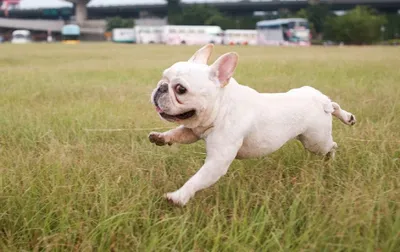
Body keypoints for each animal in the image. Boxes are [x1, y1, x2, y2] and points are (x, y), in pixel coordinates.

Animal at [148, 44, 354, 206]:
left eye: (181, 89)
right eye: (163, 77)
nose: (160, 88)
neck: (222, 106)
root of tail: (321, 101)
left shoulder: (217, 162)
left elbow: (197, 179)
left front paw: (178, 196)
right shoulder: (194, 131)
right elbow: (178, 132)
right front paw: (161, 137)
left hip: (315, 141)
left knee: (331, 144)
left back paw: (331, 157)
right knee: (334, 107)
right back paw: (348, 117)